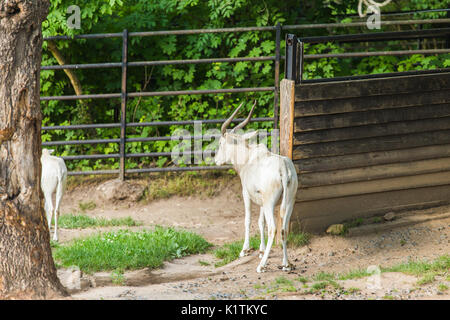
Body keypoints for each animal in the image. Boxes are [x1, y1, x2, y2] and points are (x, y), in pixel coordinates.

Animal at [214, 102, 298, 272]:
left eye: (220, 143)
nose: (216, 160)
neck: (249, 158)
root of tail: (284, 168)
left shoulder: (246, 194)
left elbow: (248, 219)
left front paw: (244, 250)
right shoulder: (261, 201)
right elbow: (261, 222)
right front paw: (261, 250)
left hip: (270, 203)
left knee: (274, 229)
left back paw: (262, 266)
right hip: (288, 202)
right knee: (284, 228)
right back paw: (286, 264)